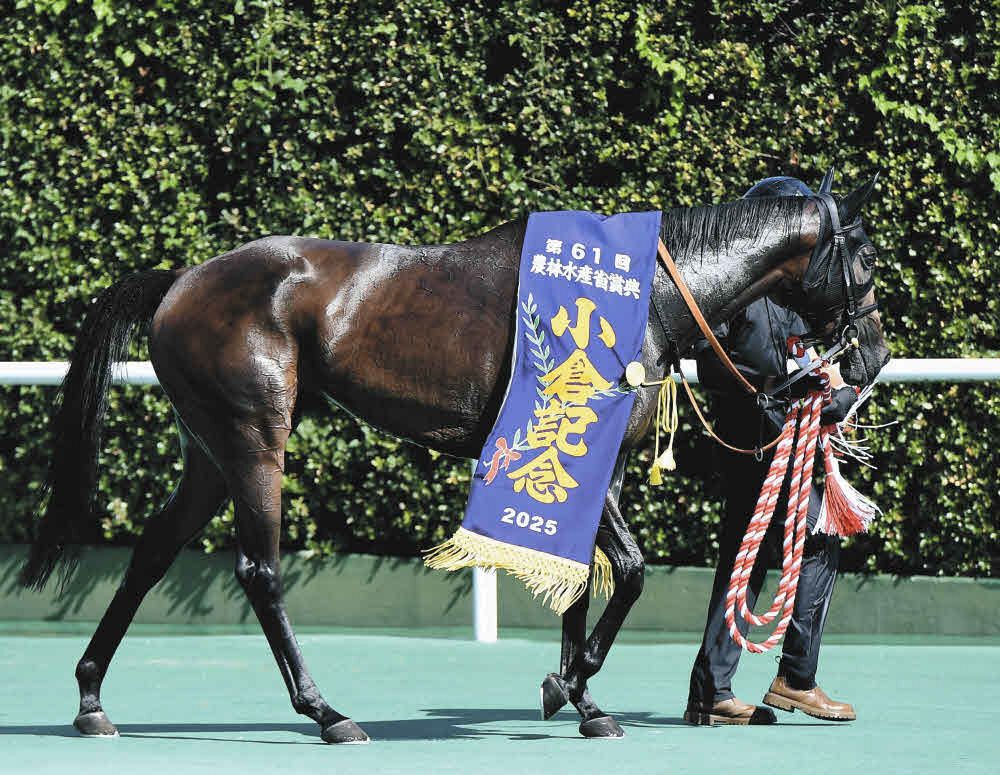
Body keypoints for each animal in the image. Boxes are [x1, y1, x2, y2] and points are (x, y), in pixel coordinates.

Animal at [20, 174, 889, 743]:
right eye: (868, 258)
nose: (871, 356)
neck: (639, 294)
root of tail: (180, 281)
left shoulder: (591, 470)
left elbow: (582, 575)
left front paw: (583, 702)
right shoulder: (582, 453)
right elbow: (633, 569)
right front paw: (565, 683)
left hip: (207, 450)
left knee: (152, 553)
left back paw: (92, 699)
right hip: (251, 439)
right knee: (259, 570)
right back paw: (326, 711)